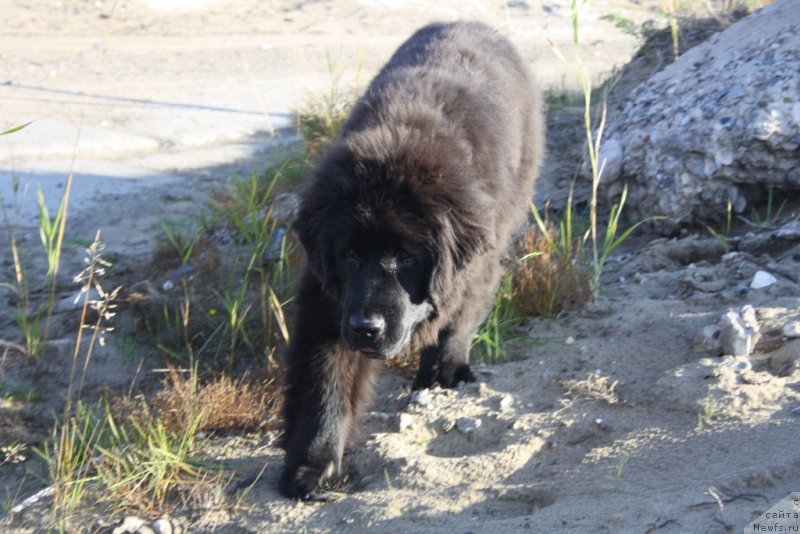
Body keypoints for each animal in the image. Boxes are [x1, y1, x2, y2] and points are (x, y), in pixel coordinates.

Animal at [280, 18, 544, 500]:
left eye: (405, 257)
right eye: (349, 254)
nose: (366, 328)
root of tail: (472, 23)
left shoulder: (476, 267)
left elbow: (457, 322)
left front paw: (442, 371)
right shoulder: (328, 303)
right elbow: (323, 384)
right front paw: (312, 466)